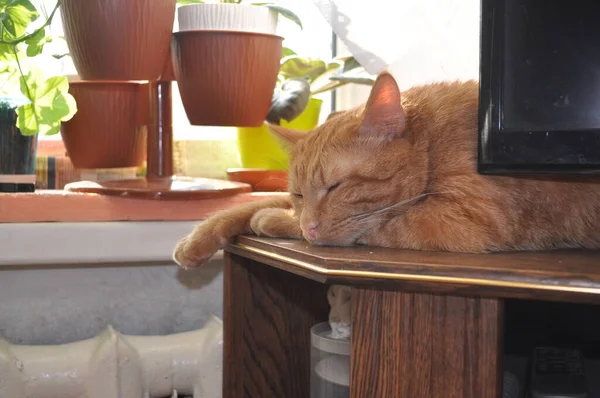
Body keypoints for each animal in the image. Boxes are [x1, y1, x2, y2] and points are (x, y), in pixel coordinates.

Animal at [171, 72, 600, 268]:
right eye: (299, 192)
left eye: (335, 187)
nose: (309, 225)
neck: (434, 140)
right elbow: (253, 205)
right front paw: (200, 237)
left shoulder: (466, 219)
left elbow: (363, 227)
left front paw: (275, 221)